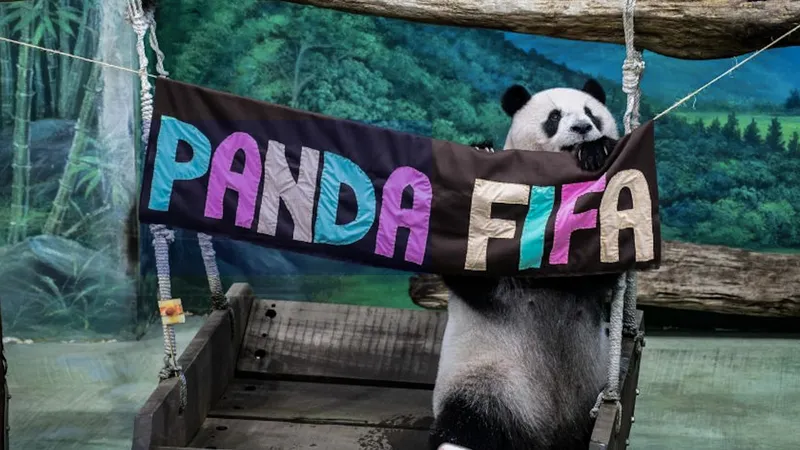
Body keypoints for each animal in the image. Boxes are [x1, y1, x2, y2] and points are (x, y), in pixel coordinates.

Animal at [428, 79, 620, 450]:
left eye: (591, 113)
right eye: (554, 117)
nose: (582, 128)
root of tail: (547, 435)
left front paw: (597, 151)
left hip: (592, 385)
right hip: (491, 380)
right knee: (467, 424)